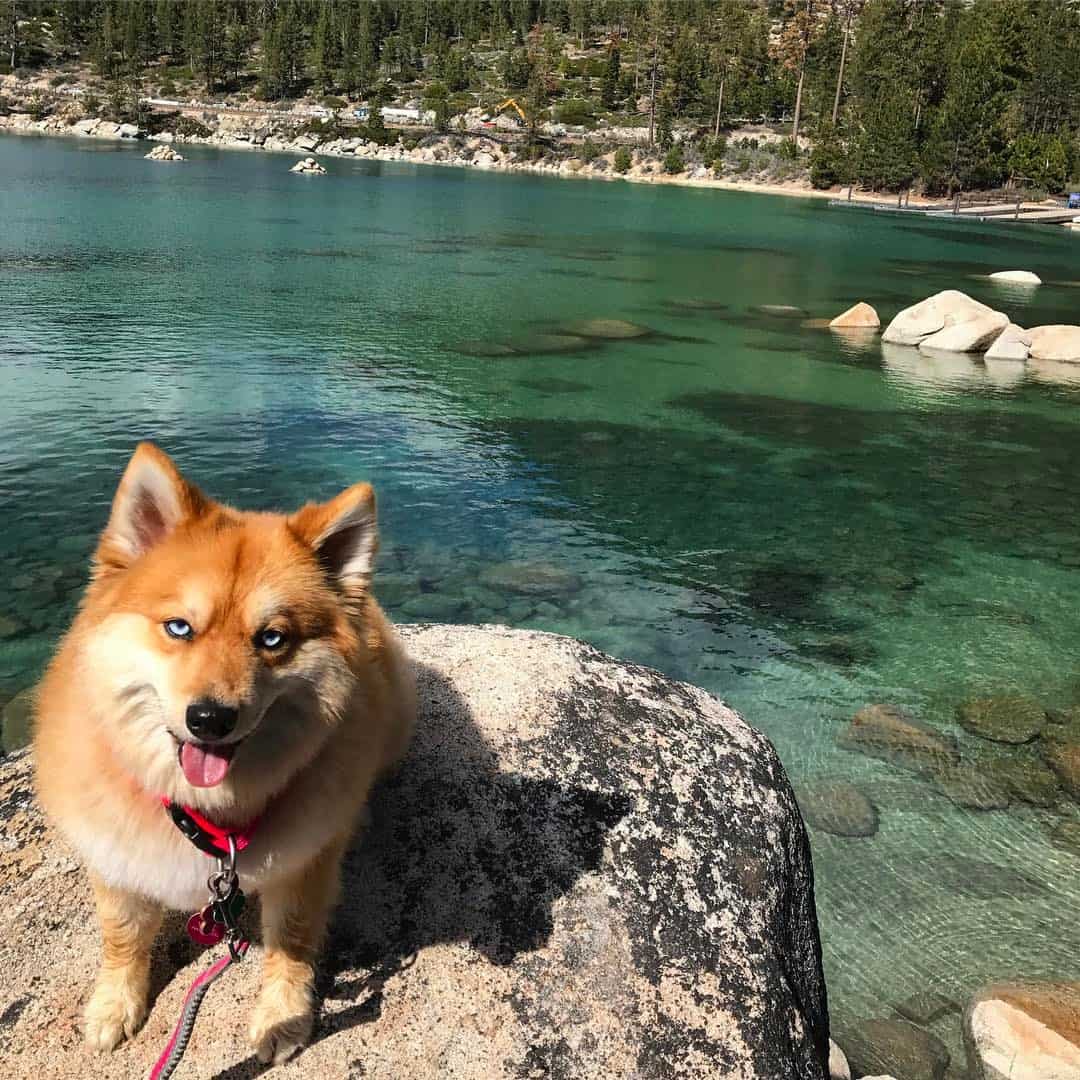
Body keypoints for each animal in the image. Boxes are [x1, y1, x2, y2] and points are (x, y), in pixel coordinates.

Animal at [33, 440, 412, 1062]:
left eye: (273, 639)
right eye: (179, 628)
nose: (210, 718)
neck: (207, 814)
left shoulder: (303, 865)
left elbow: (293, 941)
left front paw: (283, 1016)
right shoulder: (115, 858)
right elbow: (121, 937)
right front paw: (115, 1004)